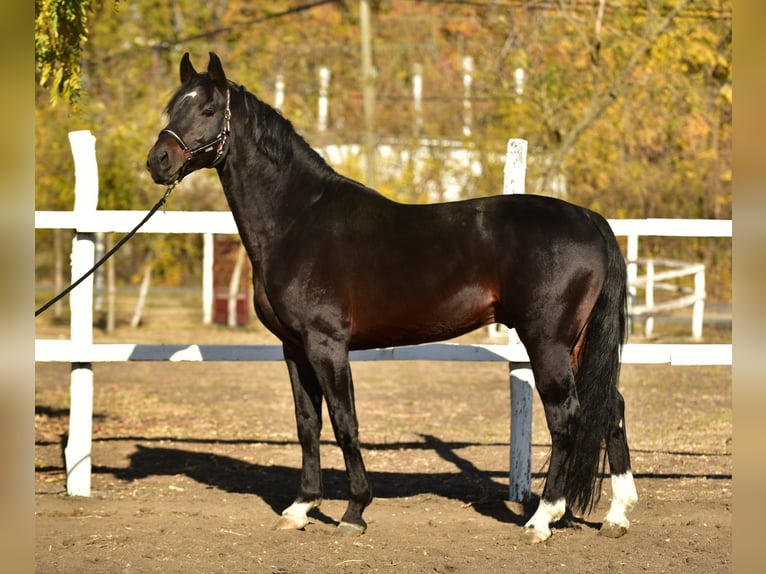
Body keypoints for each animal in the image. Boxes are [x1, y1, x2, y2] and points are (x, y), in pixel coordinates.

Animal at [147, 52, 637, 543]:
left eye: (208, 110)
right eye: (173, 107)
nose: (159, 161)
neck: (298, 221)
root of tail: (590, 218)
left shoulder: (326, 345)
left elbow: (344, 422)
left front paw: (354, 511)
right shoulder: (294, 348)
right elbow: (308, 425)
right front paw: (301, 507)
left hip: (547, 342)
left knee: (566, 416)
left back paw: (542, 518)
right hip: (575, 344)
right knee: (611, 406)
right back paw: (616, 515)